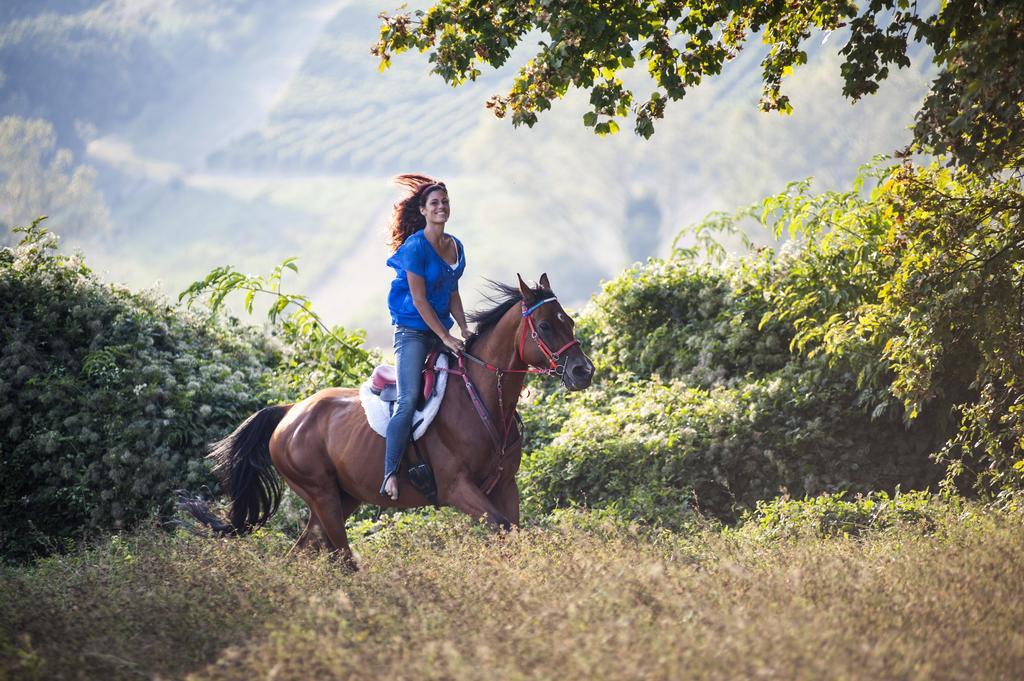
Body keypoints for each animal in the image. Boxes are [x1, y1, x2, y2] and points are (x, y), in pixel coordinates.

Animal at [186, 274, 593, 565]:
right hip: (321, 495)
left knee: (303, 548)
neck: (482, 400)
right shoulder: (458, 489)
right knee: (341, 557)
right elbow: (501, 527)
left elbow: (512, 534)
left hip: (342, 497)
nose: (582, 371)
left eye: (570, 321)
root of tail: (290, 413)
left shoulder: (505, 486)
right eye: (544, 326)